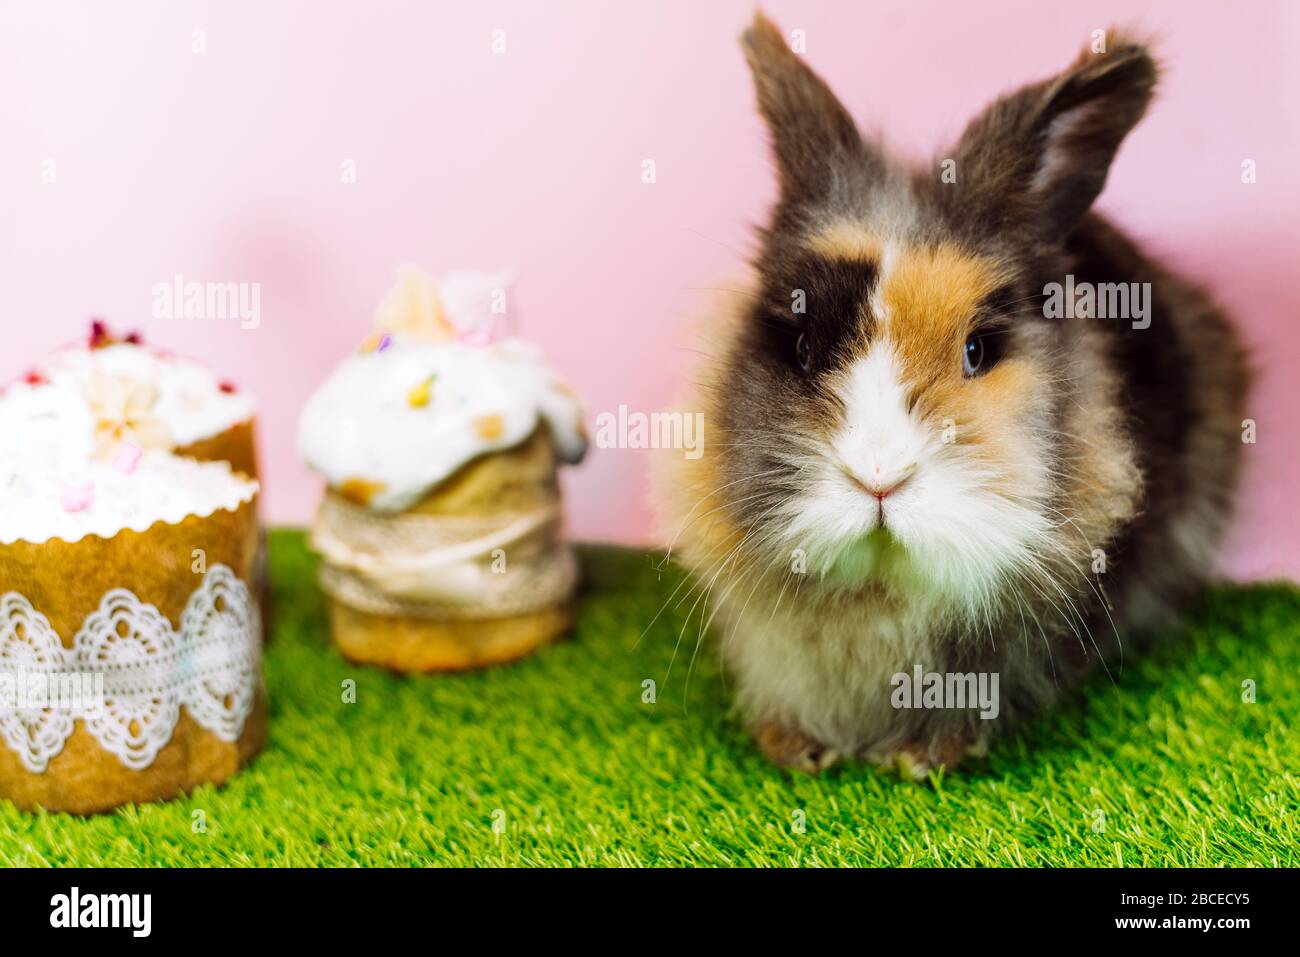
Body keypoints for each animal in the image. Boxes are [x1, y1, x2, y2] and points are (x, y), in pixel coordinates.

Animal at [660, 13, 1248, 780]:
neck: (881, 598)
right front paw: (796, 749)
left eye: (979, 350)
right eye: (803, 348)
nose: (879, 476)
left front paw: (925, 757)